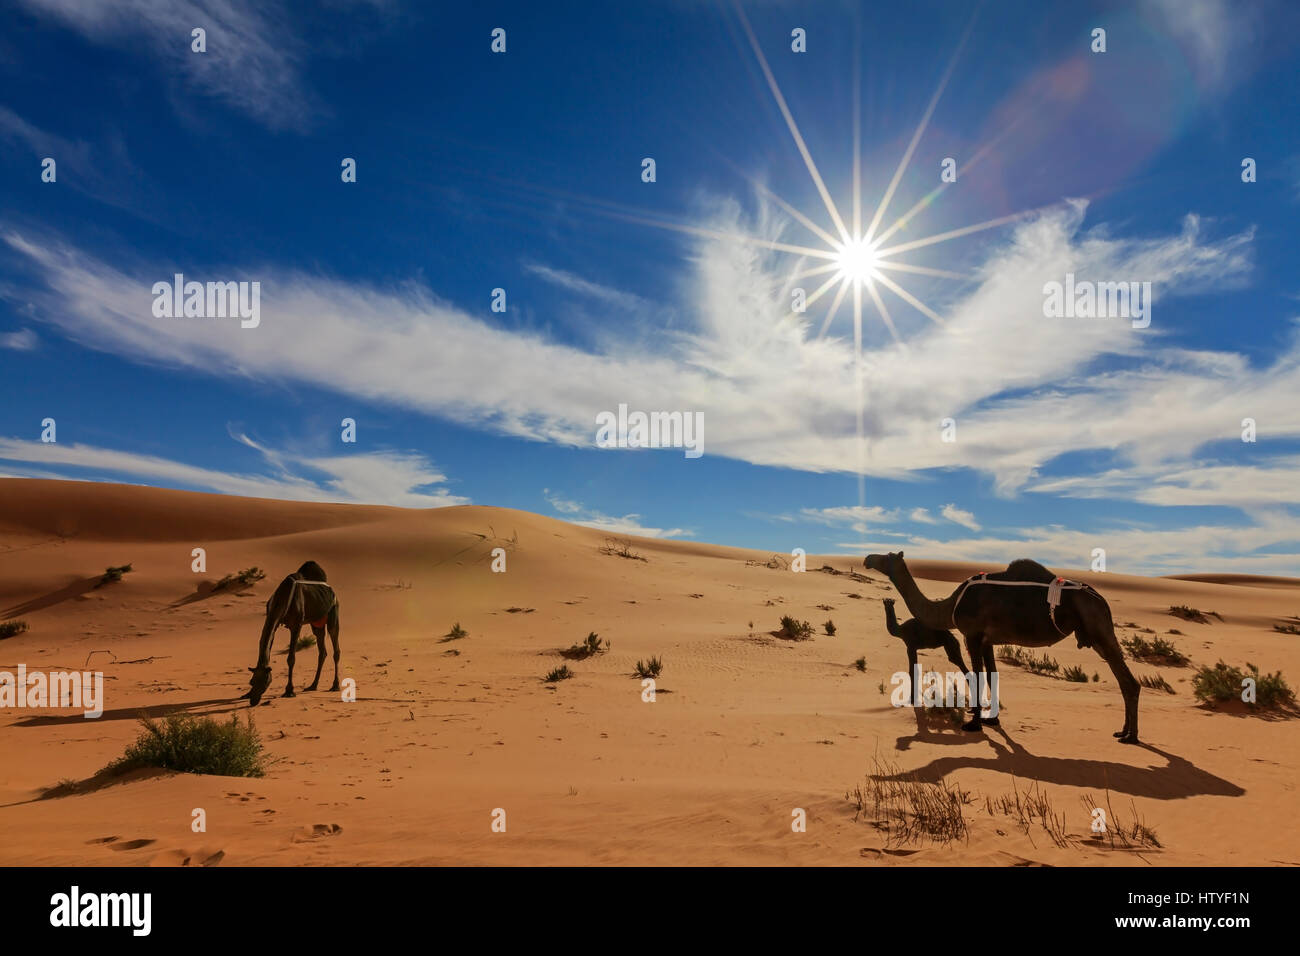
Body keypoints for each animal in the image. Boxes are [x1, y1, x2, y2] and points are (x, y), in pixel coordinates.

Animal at [241, 556, 338, 707]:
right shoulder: (274, 621)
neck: (283, 598)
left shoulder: (296, 625)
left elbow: (291, 658)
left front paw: (289, 691)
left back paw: (335, 686)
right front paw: (246, 694)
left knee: (335, 648)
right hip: (317, 623)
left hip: (333, 611)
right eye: (251, 682)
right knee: (322, 650)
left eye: (265, 682)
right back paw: (313, 685)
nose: (253, 701)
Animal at [868, 548, 1144, 743]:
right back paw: (1123, 732)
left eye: (886, 557)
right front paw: (992, 720)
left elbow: (977, 675)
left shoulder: (972, 635)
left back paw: (1130, 737)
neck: (950, 605)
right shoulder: (987, 640)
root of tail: (1102, 600)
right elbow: (992, 675)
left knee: (1128, 681)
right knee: (1124, 681)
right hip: (1096, 635)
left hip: (1098, 628)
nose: (868, 558)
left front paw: (974, 723)